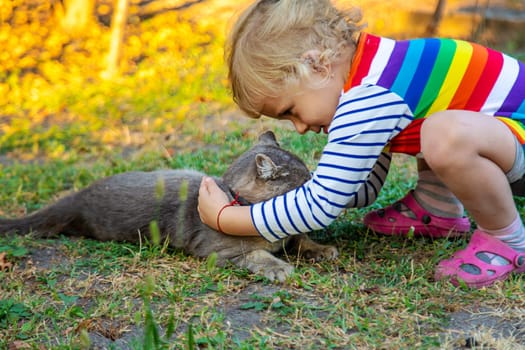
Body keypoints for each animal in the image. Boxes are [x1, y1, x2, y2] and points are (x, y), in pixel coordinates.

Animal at [1, 131, 336, 282]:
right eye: (305, 179)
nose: (315, 179)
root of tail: (79, 197)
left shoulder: (290, 230)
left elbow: (300, 237)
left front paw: (321, 249)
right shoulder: (220, 252)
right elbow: (257, 254)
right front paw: (279, 267)